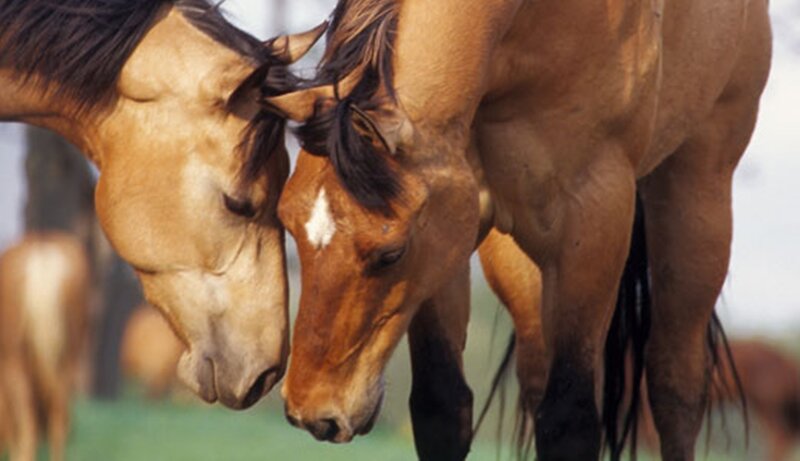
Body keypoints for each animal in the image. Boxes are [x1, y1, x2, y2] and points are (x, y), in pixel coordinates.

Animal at [268, 0, 772, 459]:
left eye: (390, 253)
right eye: (289, 223)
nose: (312, 412)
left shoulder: (594, 222)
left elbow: (571, 420)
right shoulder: (449, 240)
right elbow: (442, 405)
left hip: (696, 199)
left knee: (675, 390)